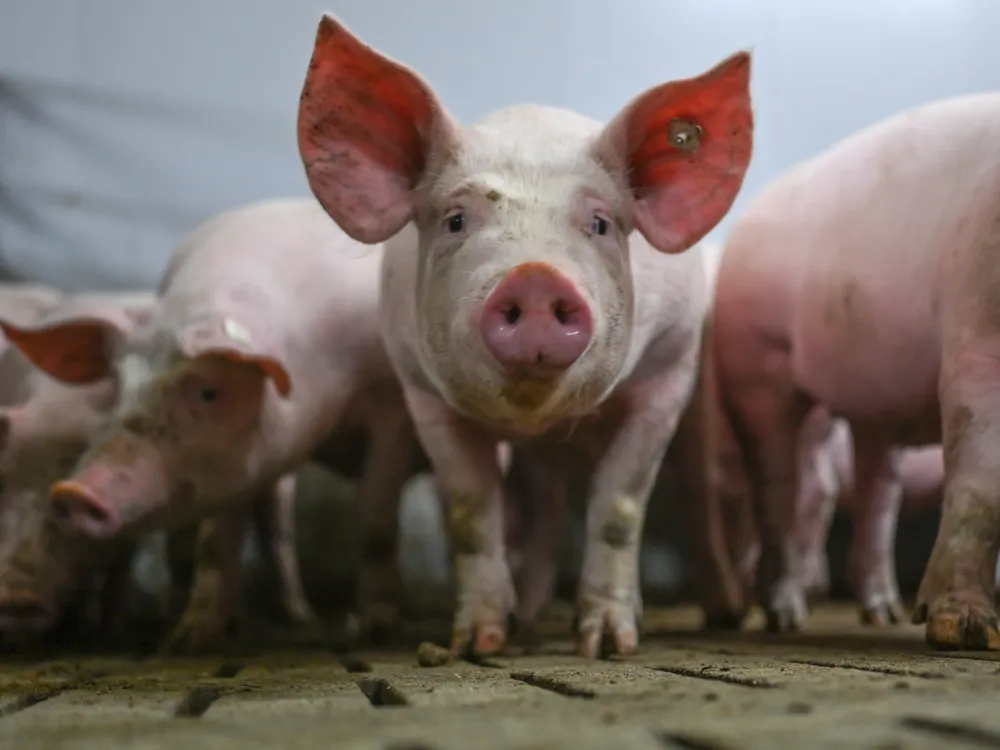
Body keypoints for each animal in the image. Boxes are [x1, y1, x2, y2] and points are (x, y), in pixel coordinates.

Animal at [0, 200, 424, 652]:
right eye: (118, 383)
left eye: (209, 392)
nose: (74, 492)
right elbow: (215, 541)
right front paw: (189, 640)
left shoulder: (393, 409)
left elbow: (377, 520)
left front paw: (375, 632)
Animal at [292, 13, 752, 656]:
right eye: (456, 220)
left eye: (600, 224)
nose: (534, 277)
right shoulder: (422, 394)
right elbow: (470, 512)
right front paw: (475, 644)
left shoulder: (668, 373)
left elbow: (619, 506)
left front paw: (607, 645)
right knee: (545, 504)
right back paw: (526, 620)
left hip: (700, 386)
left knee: (697, 489)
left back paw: (725, 614)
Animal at [716, 92, 1000, 652]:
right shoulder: (977, 324)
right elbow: (982, 482)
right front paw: (964, 633)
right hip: (759, 365)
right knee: (785, 489)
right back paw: (784, 615)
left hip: (875, 406)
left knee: (876, 494)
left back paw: (882, 614)